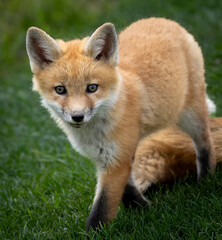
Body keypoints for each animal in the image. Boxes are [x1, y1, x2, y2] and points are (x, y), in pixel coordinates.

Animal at [26, 17, 215, 230]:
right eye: (60, 90)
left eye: (92, 88)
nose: (77, 116)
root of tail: (162, 20)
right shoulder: (110, 155)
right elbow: (127, 187)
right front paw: (143, 208)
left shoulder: (116, 158)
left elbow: (102, 207)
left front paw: (94, 232)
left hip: (191, 116)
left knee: (205, 145)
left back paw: (205, 181)